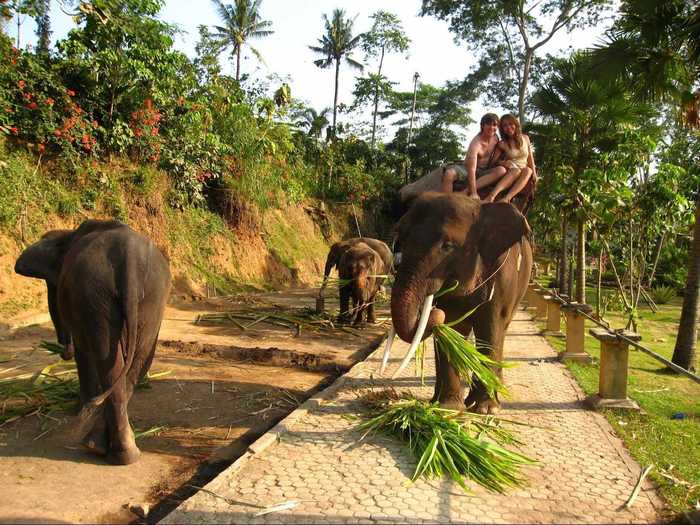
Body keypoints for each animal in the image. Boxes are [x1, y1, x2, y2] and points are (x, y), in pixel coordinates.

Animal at [15, 219, 171, 464]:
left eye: (52, 288)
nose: (63, 351)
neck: (67, 236)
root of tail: (130, 260)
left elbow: (84, 353)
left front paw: (79, 409)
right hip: (151, 299)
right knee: (138, 362)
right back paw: (121, 451)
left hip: (95, 296)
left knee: (107, 360)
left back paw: (102, 449)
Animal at [388, 192, 532, 414]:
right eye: (400, 240)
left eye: (447, 246)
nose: (433, 312)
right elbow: (451, 329)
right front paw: (448, 407)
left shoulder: (502, 277)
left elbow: (490, 328)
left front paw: (486, 410)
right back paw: (441, 399)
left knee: (501, 330)